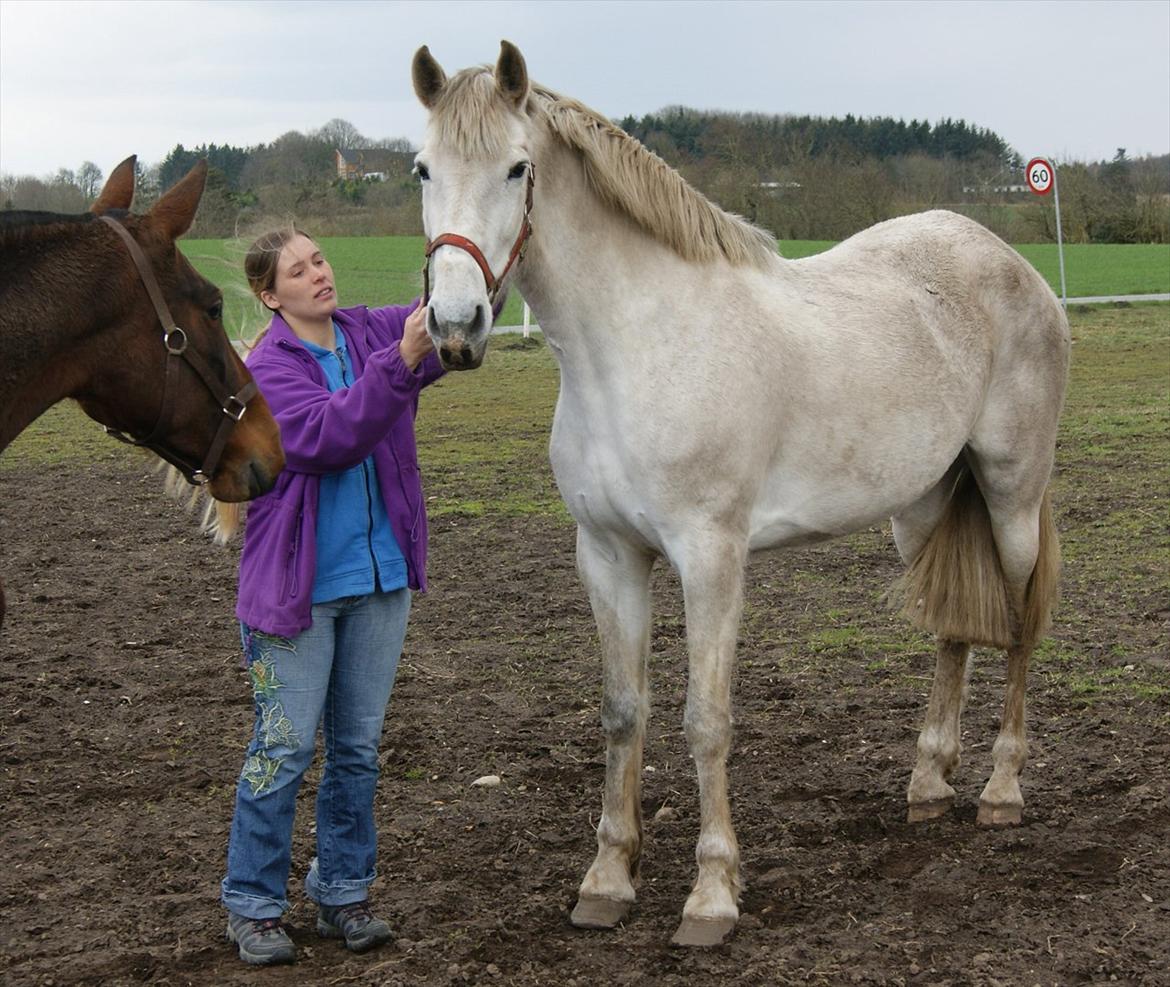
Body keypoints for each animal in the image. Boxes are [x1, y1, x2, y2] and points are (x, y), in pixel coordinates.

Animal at [411, 42, 1071, 944]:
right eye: (421, 169)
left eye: (517, 168)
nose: (455, 326)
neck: (639, 346)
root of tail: (1015, 268)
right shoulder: (607, 555)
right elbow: (624, 711)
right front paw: (607, 879)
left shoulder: (711, 556)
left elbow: (705, 719)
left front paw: (712, 892)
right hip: (923, 508)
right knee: (953, 630)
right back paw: (930, 783)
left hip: (1010, 497)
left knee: (1014, 624)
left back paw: (1001, 790)